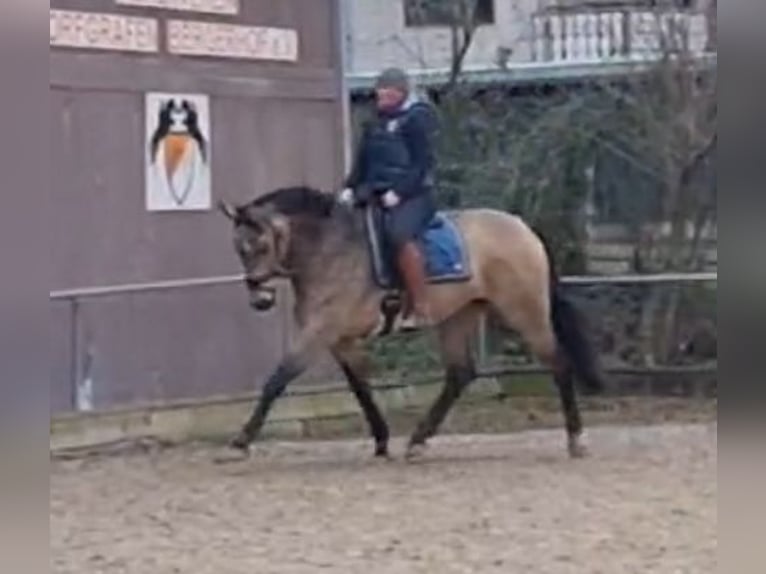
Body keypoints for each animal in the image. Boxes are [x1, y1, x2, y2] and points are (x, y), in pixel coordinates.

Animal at [219, 187, 608, 462]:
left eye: (262, 245)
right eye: (239, 248)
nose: (260, 299)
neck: (329, 250)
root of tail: (523, 228)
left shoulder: (319, 334)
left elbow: (278, 379)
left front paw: (240, 442)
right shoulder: (340, 340)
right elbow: (360, 387)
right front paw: (381, 440)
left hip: (524, 312)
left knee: (558, 362)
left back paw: (576, 440)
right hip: (458, 316)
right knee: (460, 374)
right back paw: (418, 441)